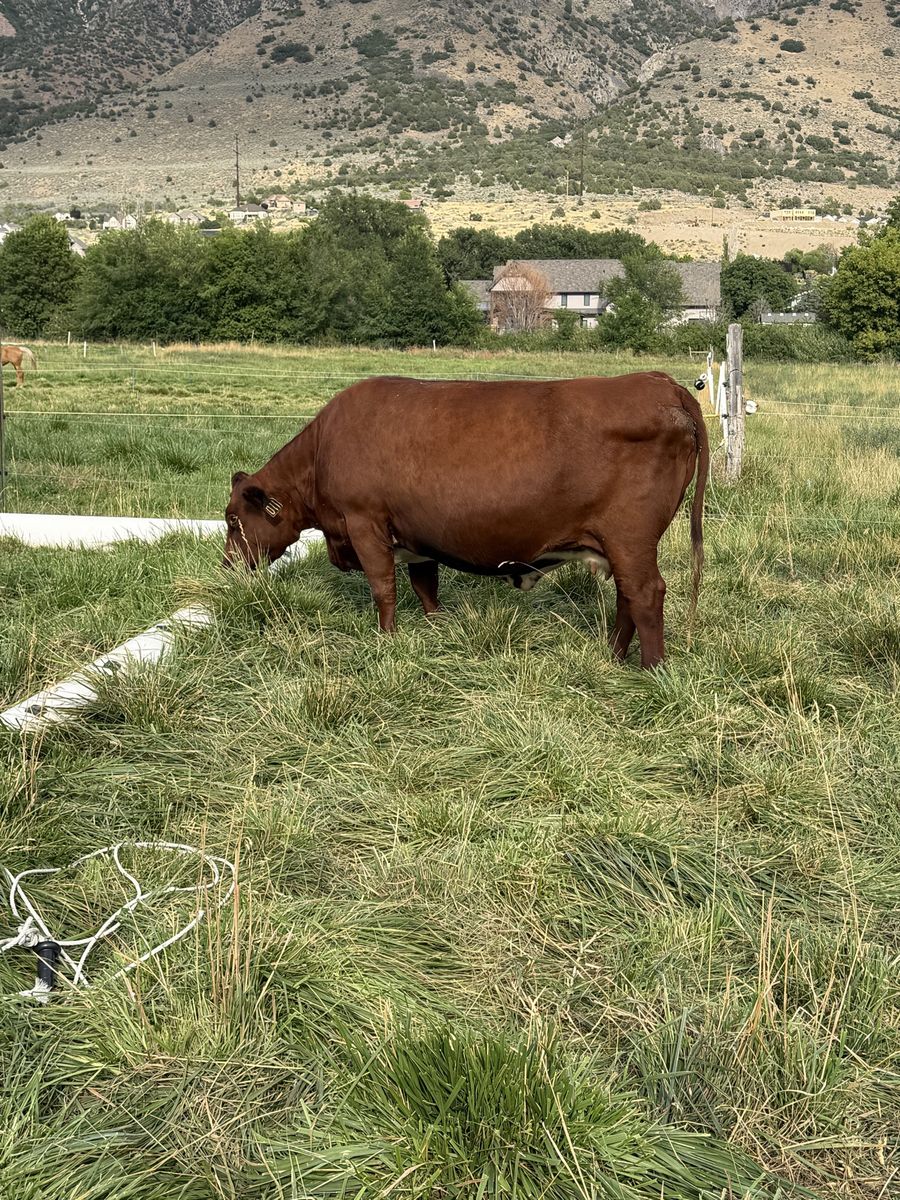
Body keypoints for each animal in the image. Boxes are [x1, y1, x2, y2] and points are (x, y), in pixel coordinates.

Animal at [224, 372, 709, 668]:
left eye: (231, 519)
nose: (228, 565)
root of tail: (660, 382)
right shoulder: (415, 536)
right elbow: (425, 586)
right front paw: (435, 627)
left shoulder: (365, 523)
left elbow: (384, 589)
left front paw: (386, 640)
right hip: (620, 544)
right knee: (628, 596)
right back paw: (612, 655)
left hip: (630, 536)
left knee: (645, 594)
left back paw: (650, 669)